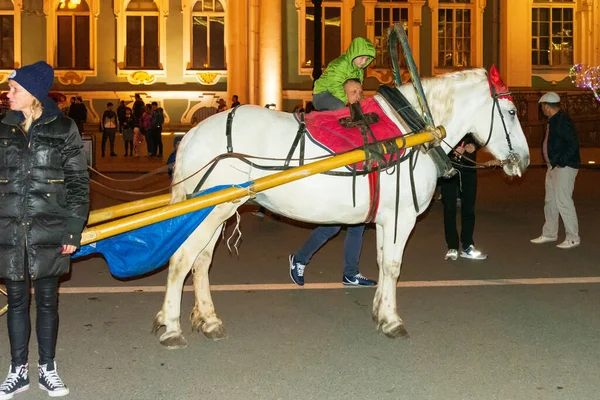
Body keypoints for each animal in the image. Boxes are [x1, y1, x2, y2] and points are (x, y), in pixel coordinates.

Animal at [151, 67, 528, 348]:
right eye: (511, 112)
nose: (523, 160)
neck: (411, 132)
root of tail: (192, 134)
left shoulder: (386, 219)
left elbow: (382, 263)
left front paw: (380, 313)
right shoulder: (401, 217)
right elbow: (393, 266)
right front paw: (392, 320)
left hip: (215, 211)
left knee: (201, 262)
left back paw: (208, 320)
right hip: (212, 211)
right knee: (182, 260)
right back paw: (171, 326)